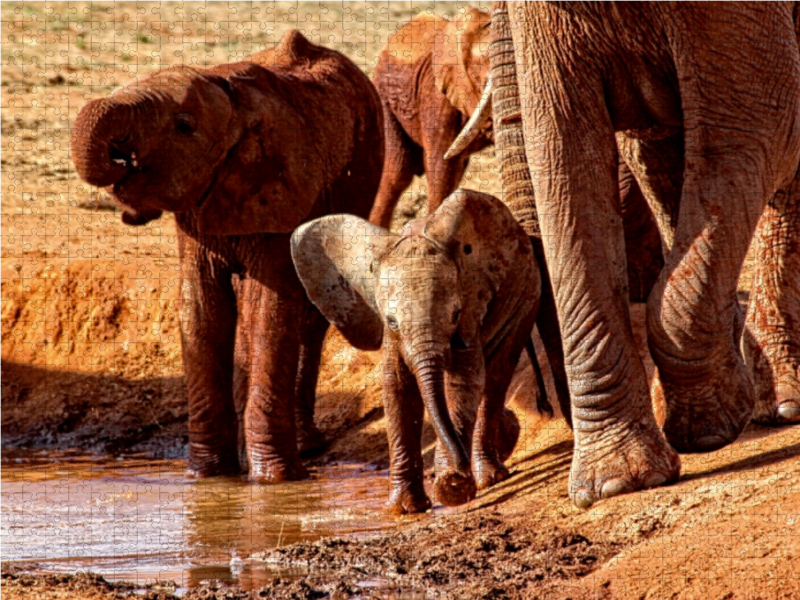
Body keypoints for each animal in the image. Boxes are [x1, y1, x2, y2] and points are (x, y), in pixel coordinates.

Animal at [70, 30, 386, 482]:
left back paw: (305, 448)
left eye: (184, 126)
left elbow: (270, 309)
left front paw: (274, 480)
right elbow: (201, 309)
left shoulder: (283, 194)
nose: (124, 158)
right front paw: (207, 477)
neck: (234, 99)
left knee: (309, 316)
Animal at [290, 190, 548, 512]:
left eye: (454, 314)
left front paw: (452, 487)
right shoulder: (392, 335)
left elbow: (465, 379)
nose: (459, 469)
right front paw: (404, 507)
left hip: (528, 292)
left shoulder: (470, 307)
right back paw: (505, 440)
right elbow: (397, 386)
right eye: (391, 321)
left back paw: (488, 476)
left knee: (497, 374)